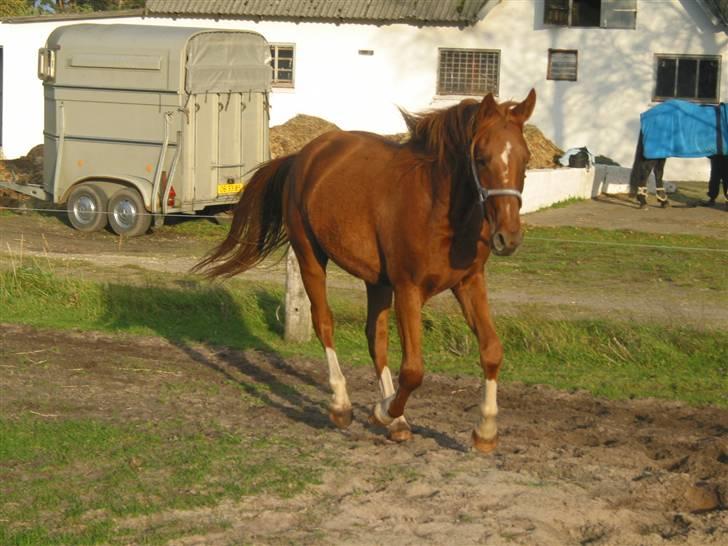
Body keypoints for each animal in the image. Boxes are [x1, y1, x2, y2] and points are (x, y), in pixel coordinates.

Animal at [196, 90, 536, 450]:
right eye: (482, 158)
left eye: (525, 159)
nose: (508, 237)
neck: (437, 210)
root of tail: (303, 155)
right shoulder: (408, 289)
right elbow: (413, 370)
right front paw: (383, 411)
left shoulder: (469, 283)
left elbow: (492, 350)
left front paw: (484, 432)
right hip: (310, 257)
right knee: (325, 323)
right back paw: (343, 406)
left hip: (377, 282)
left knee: (376, 337)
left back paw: (395, 421)